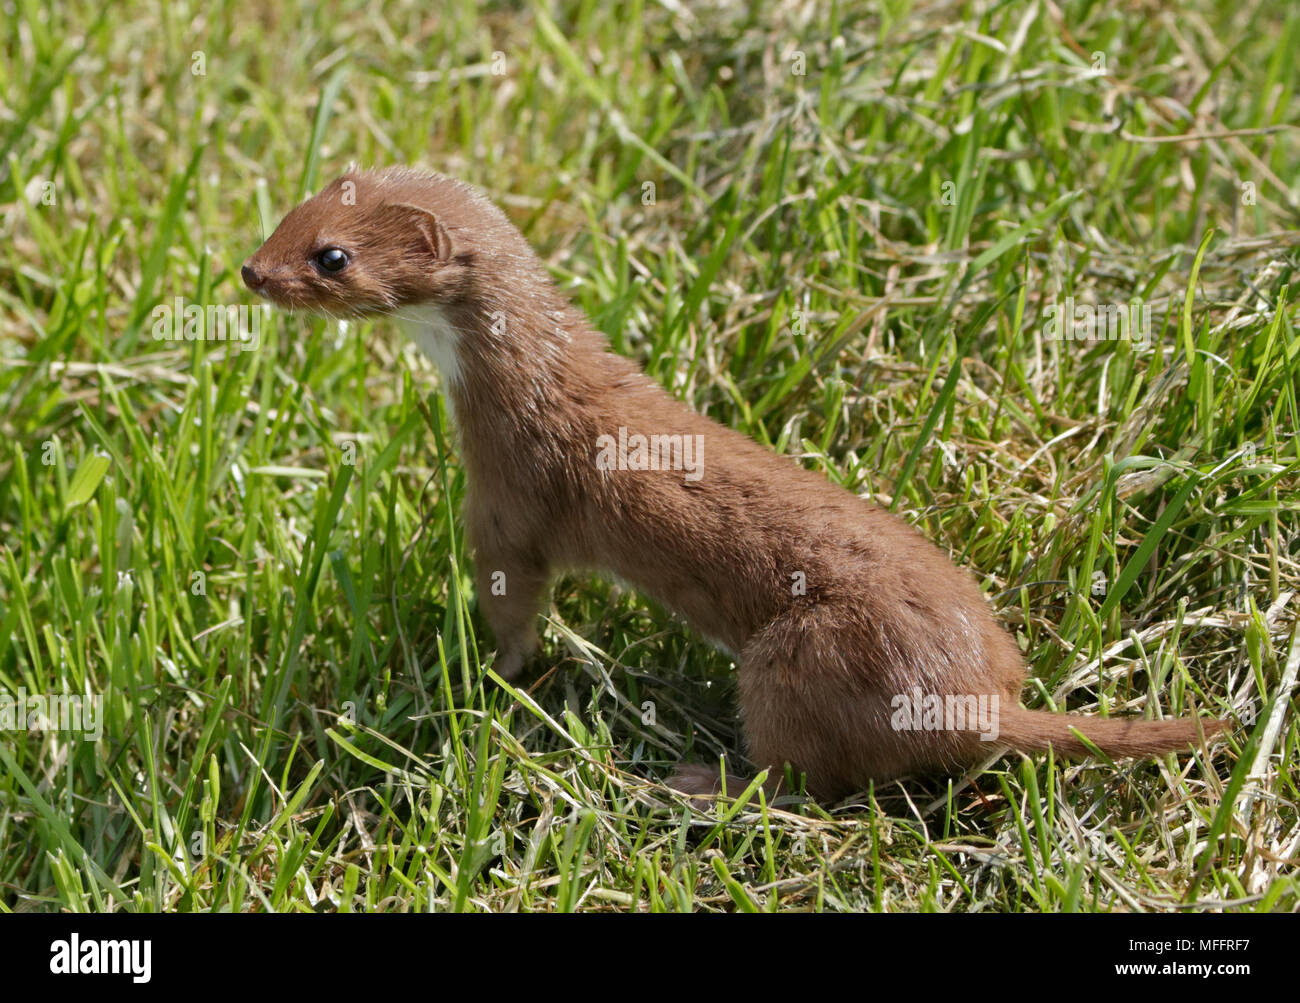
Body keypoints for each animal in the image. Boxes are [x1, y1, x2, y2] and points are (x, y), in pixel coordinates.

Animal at [244, 168, 1227, 805]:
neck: (528, 385)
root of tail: (986, 697)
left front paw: (483, 676)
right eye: (285, 216)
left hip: (796, 659)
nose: (250, 271)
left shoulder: (509, 498)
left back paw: (696, 780)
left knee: (804, 779)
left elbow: (514, 604)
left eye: (331, 256)